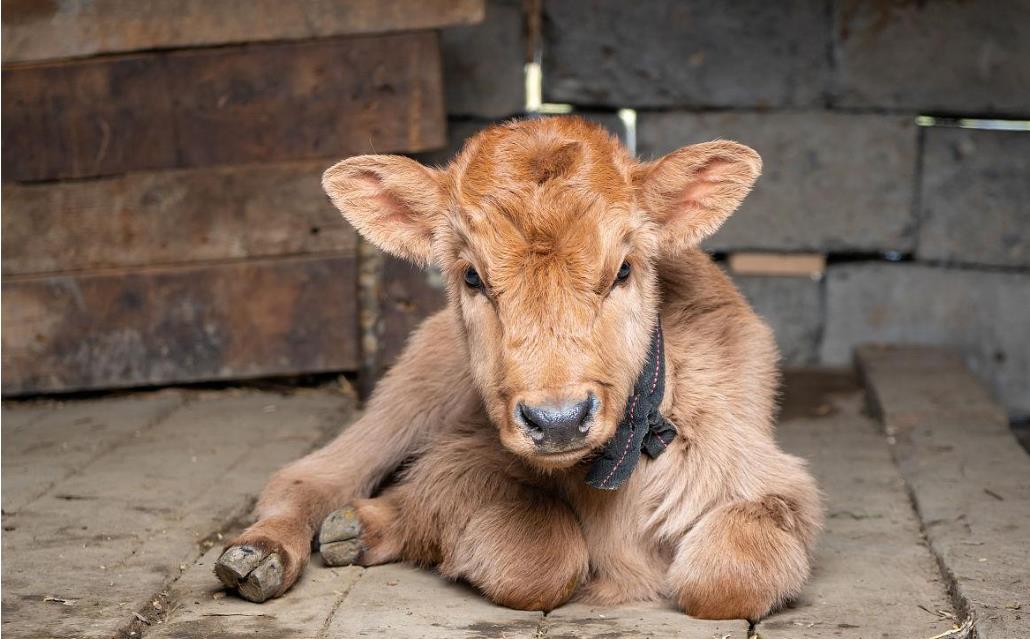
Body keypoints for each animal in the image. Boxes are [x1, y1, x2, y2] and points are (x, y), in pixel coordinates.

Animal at [215, 114, 819, 618]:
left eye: (624, 270)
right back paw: (259, 555)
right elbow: (538, 558)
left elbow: (728, 578)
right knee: (312, 476)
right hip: (412, 395)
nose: (559, 420)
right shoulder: (461, 462)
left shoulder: (768, 482)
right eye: (471, 276)